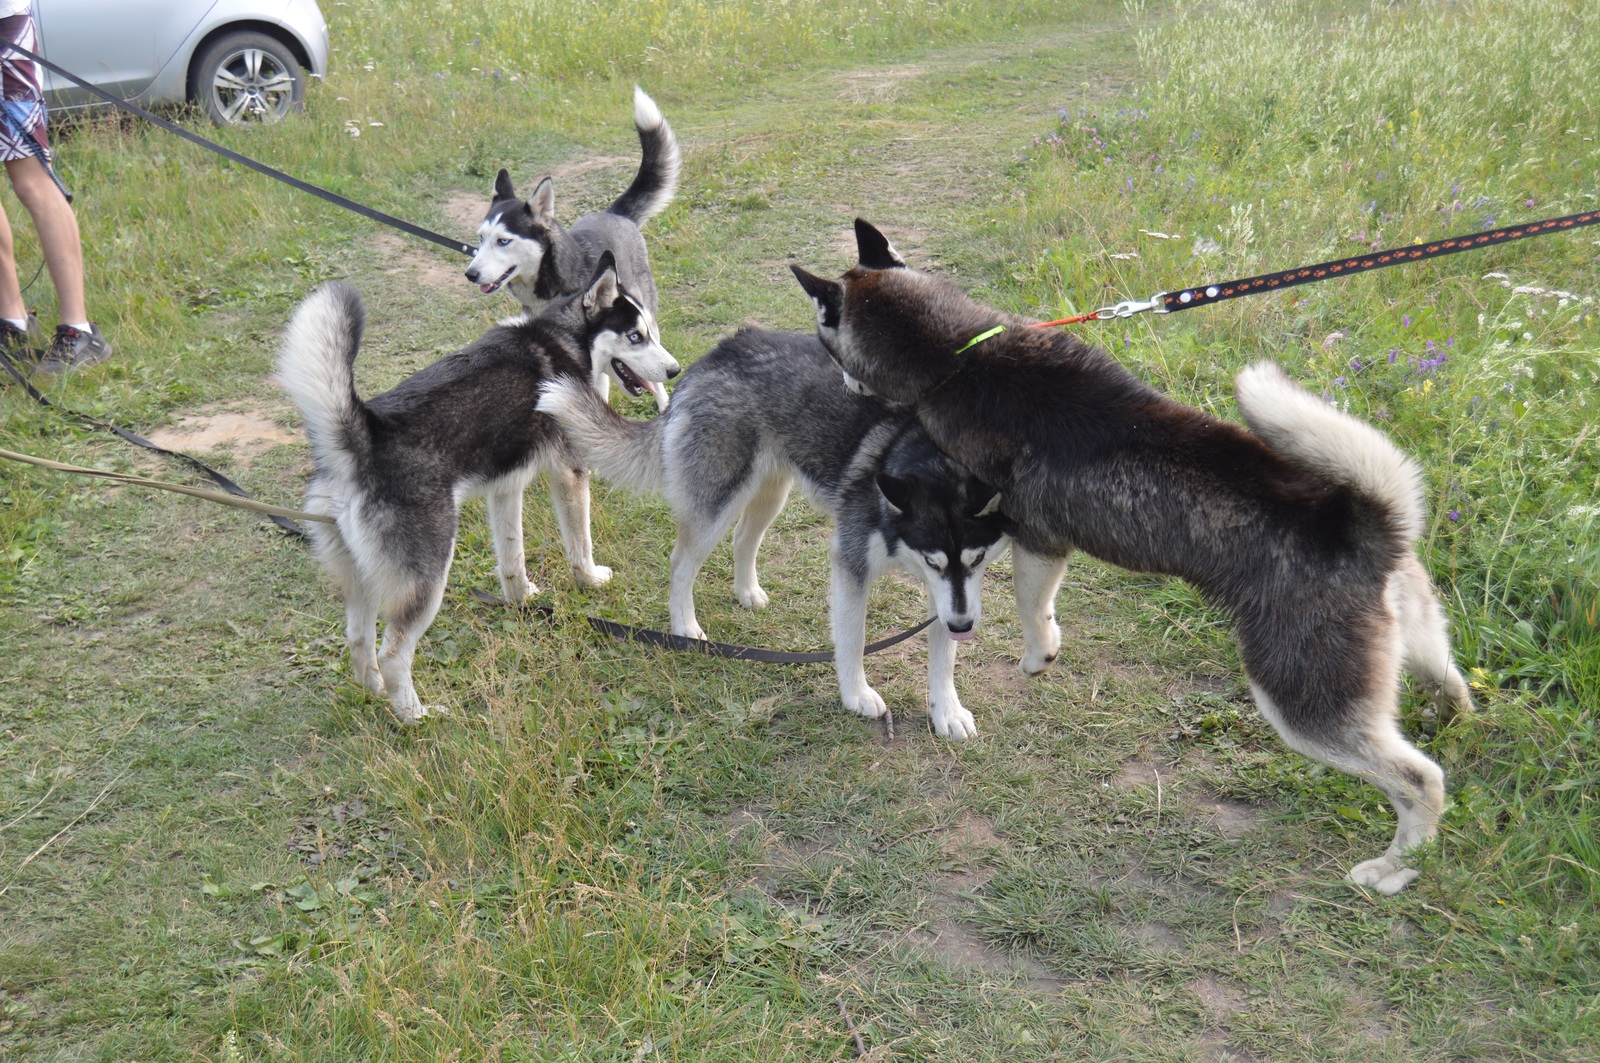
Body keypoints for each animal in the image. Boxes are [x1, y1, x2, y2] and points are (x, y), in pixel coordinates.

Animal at [278, 256, 678, 723]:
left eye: (651, 332)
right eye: (636, 337)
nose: (675, 370)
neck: (564, 339)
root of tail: (364, 435)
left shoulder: (505, 487)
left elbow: (512, 558)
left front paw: (521, 599)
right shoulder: (570, 471)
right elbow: (580, 545)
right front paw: (591, 581)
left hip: (362, 579)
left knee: (359, 641)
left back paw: (377, 694)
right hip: (428, 578)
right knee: (394, 652)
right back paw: (417, 716)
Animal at [537, 326, 1075, 739]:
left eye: (980, 559)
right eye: (931, 560)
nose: (965, 626)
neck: (922, 456)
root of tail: (717, 354)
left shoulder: (950, 593)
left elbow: (942, 651)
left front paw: (946, 710)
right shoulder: (854, 565)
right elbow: (852, 639)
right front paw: (856, 695)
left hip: (770, 492)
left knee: (743, 541)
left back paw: (747, 592)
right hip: (719, 501)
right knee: (681, 561)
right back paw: (684, 627)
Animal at [787, 219, 1472, 890]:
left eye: (826, 344)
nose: (843, 380)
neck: (961, 354)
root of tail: (1360, 522)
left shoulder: (1037, 537)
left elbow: (1032, 607)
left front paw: (1038, 655)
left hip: (1302, 704)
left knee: (1422, 780)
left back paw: (1396, 866)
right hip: (1410, 646)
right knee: (1448, 687)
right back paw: (1457, 719)